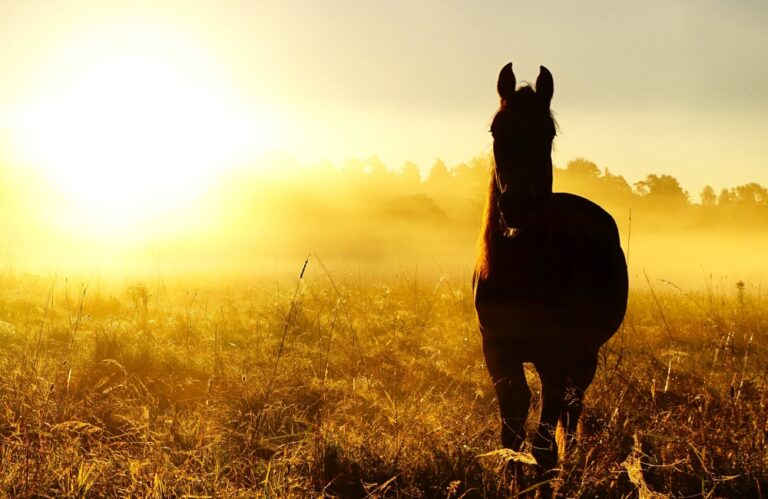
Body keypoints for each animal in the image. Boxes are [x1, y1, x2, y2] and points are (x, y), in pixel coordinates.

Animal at [473, 63, 628, 473]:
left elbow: (544, 445)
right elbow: (511, 432)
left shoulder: (555, 356)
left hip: (585, 355)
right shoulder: (498, 352)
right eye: (496, 130)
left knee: (572, 409)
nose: (515, 206)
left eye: (548, 133)